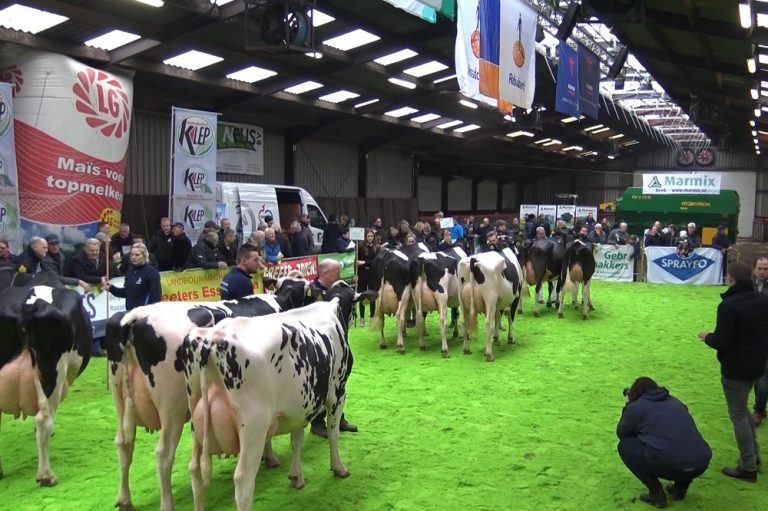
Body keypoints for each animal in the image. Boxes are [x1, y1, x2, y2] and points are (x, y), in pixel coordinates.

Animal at [106, 272, 309, 511]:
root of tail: (135, 316)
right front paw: (271, 457)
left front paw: (268, 457)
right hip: (172, 406)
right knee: (164, 453)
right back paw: (167, 503)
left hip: (120, 398)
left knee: (123, 444)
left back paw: (125, 499)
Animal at [180, 281, 376, 511]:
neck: (332, 309)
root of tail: (211, 339)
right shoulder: (338, 391)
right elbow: (333, 433)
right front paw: (339, 468)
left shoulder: (301, 403)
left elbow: (297, 439)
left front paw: (296, 477)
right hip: (253, 428)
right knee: (243, 480)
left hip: (196, 422)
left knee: (195, 471)